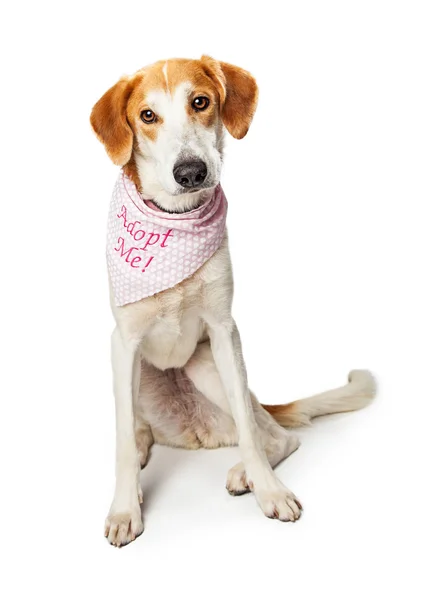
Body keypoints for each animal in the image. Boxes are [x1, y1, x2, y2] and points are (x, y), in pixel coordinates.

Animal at [89, 57, 374, 548]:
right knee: (135, 426)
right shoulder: (123, 343)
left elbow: (248, 430)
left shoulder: (224, 332)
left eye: (200, 102)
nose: (190, 172)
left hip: (206, 367)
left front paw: (270, 492)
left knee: (271, 433)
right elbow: (121, 439)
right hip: (134, 373)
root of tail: (195, 433)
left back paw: (248, 474)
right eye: (147, 115)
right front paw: (125, 509)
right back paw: (146, 444)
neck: (175, 221)